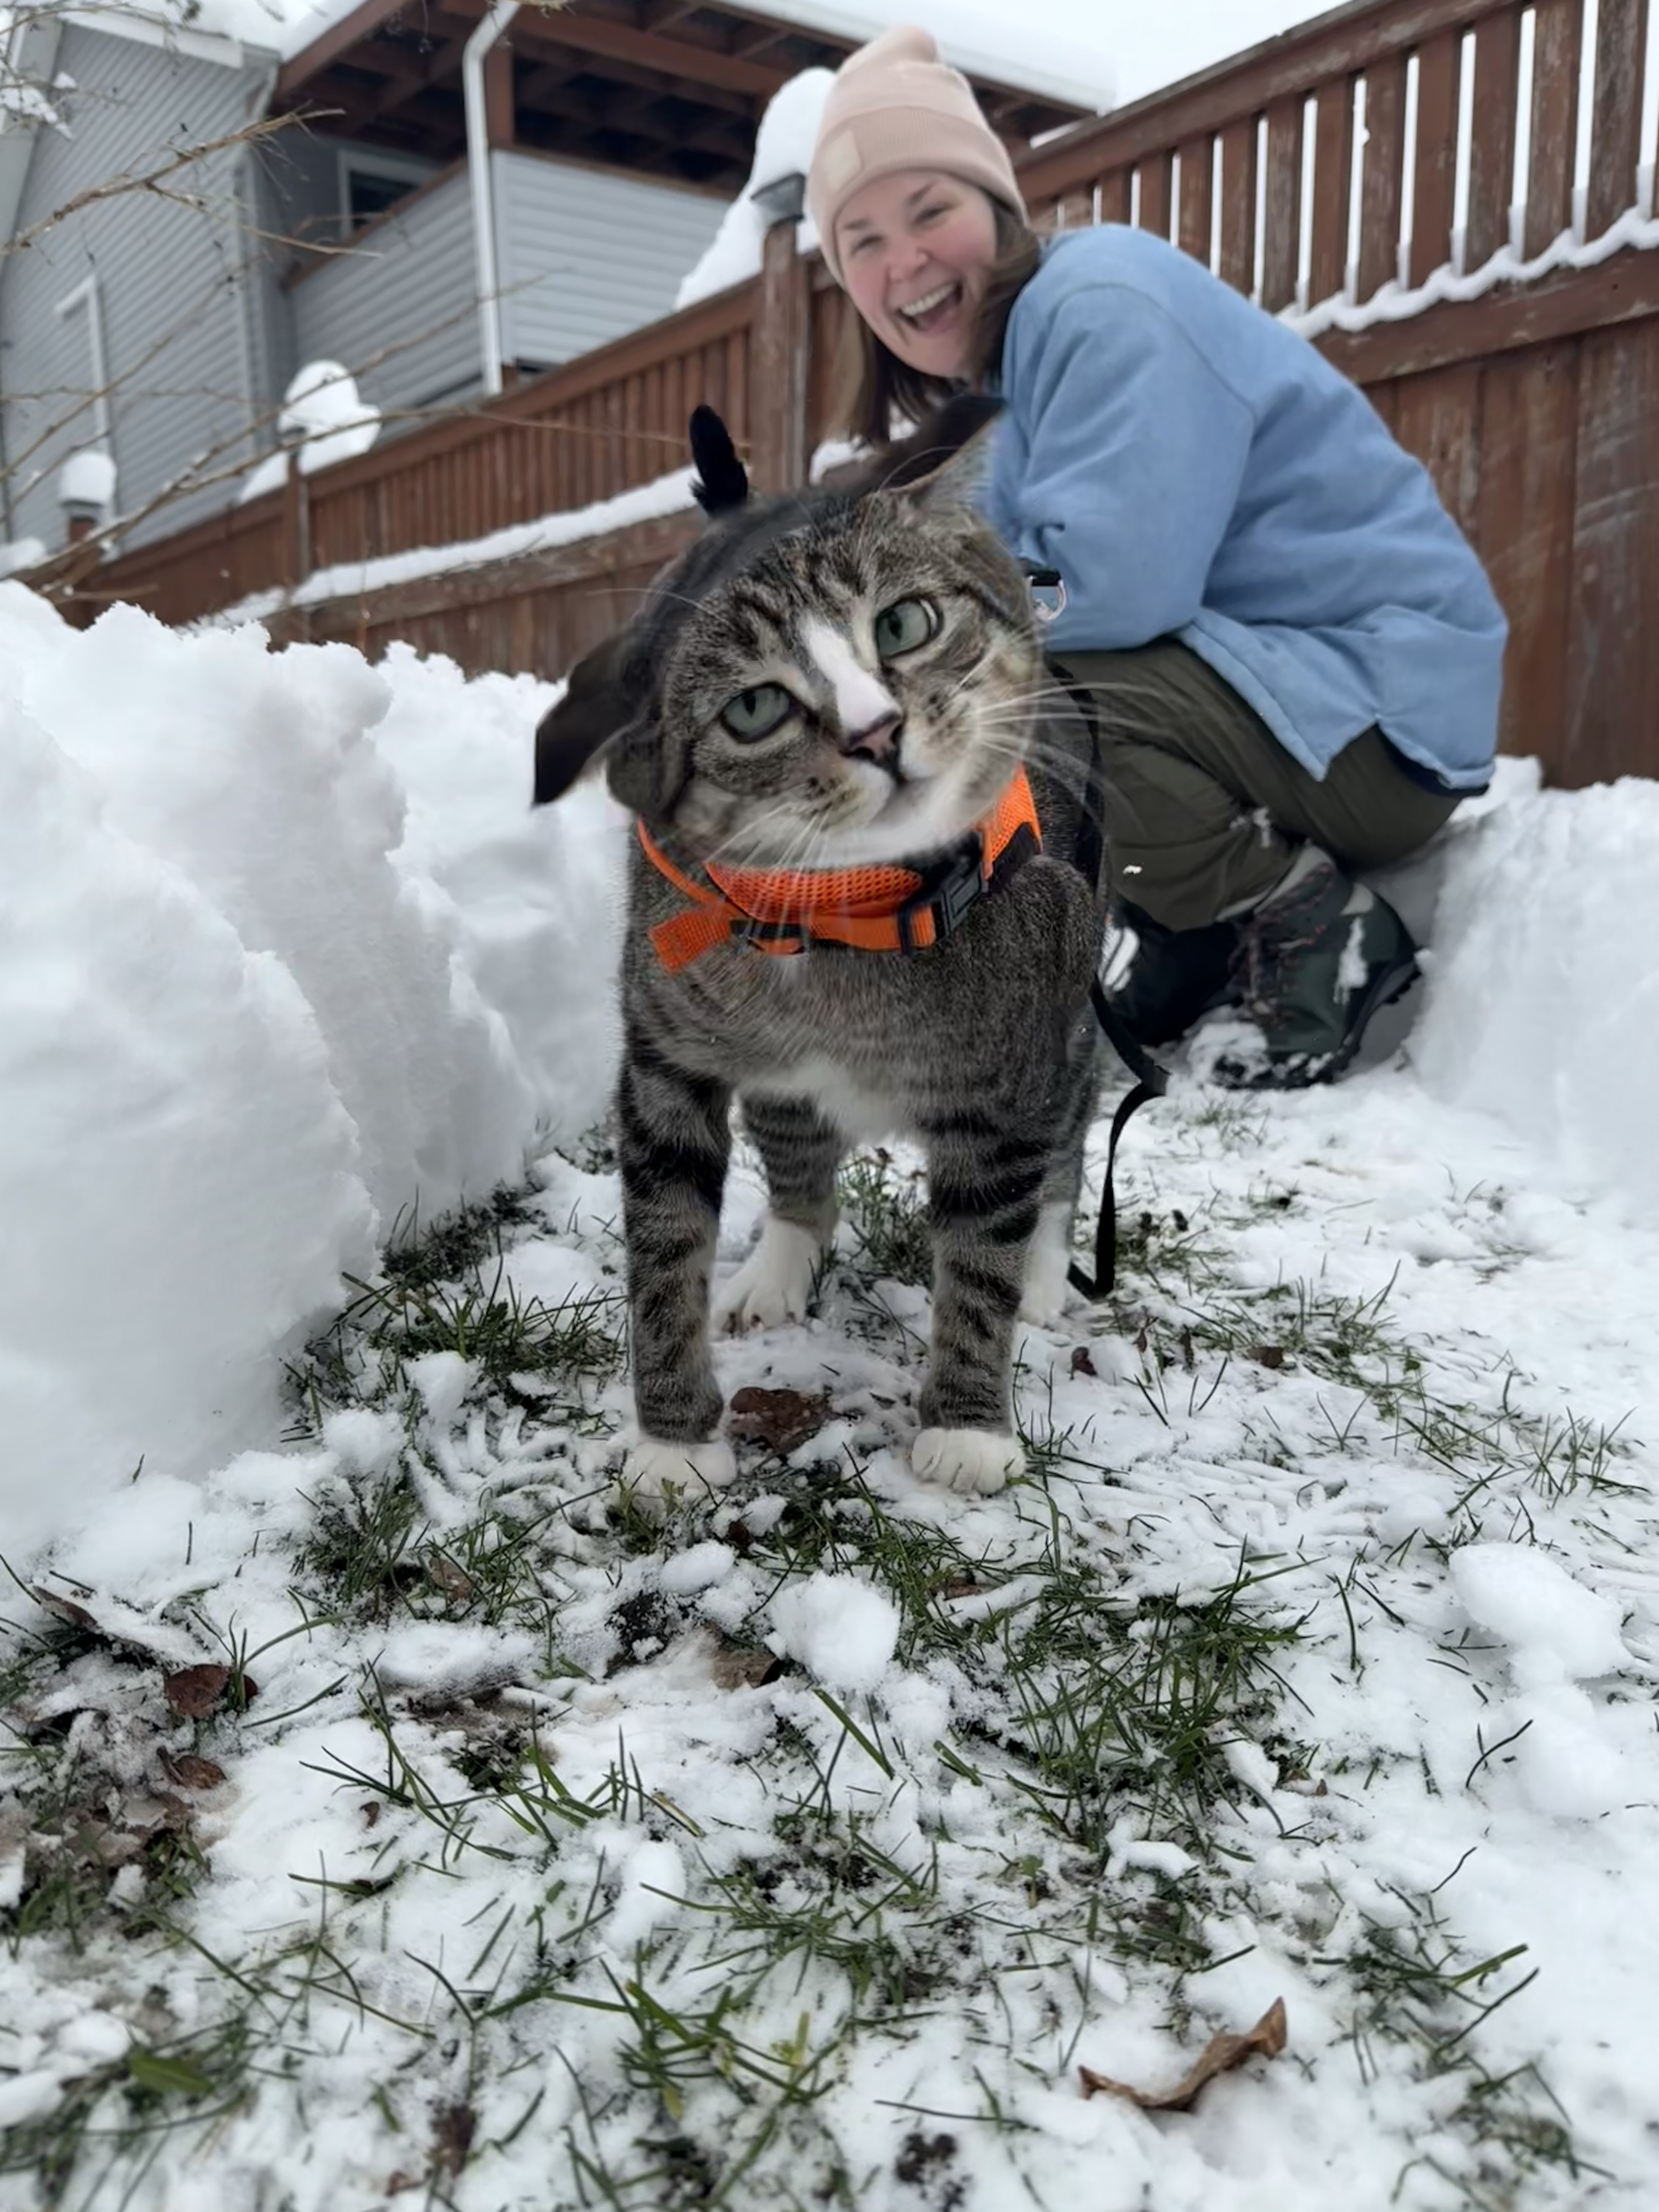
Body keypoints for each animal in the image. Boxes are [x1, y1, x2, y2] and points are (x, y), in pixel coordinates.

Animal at [533, 402, 1110, 1504]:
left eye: (904, 624)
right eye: (754, 708)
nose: (879, 731)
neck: (848, 914)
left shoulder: (1017, 1066)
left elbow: (982, 1253)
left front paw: (968, 1426)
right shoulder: (665, 1057)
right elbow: (664, 1244)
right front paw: (675, 1442)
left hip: (1072, 1013)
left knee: (1066, 1149)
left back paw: (1048, 1272)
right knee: (802, 1159)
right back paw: (778, 1264)